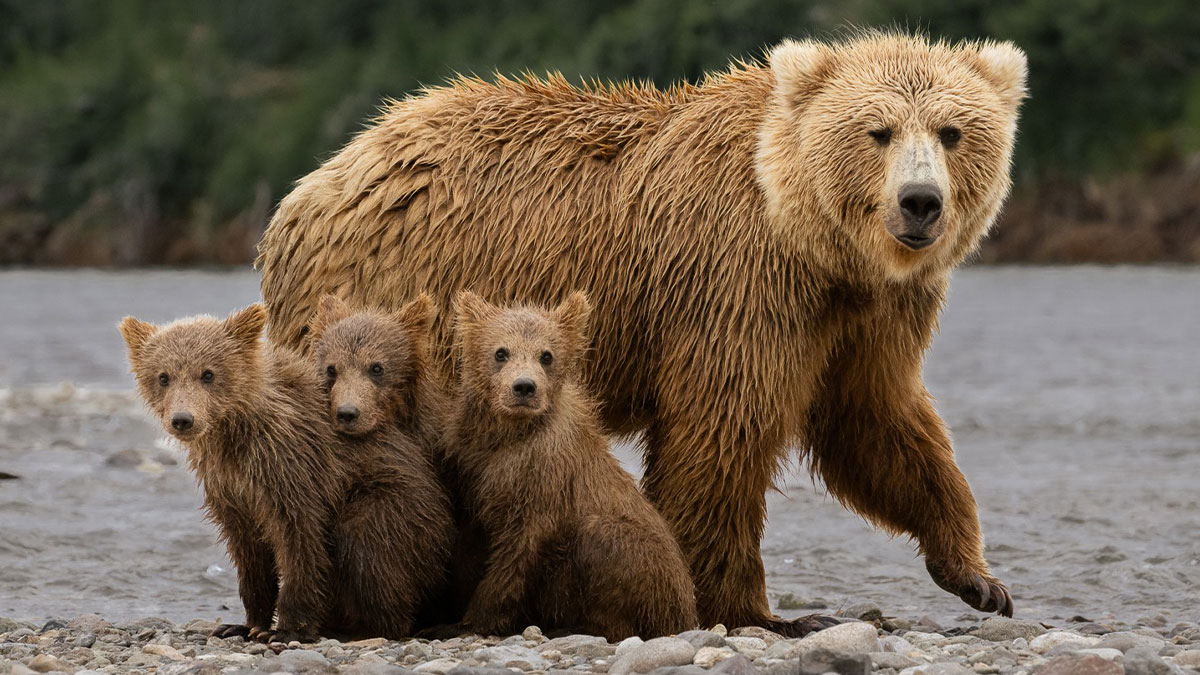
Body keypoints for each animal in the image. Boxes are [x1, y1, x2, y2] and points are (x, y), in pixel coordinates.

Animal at [446, 290, 697, 640]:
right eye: (500, 352)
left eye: (546, 355)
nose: (524, 387)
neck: (509, 435)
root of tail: (687, 613)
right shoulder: (473, 469)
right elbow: (470, 542)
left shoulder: (545, 481)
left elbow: (517, 555)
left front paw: (473, 619)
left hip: (652, 574)